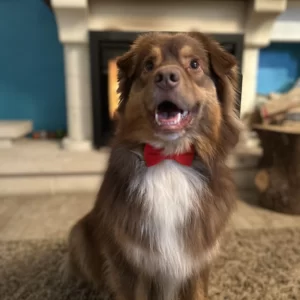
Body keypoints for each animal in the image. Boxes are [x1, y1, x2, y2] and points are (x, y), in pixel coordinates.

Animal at [67, 31, 241, 300]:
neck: (169, 158)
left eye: (194, 64)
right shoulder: (129, 265)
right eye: (149, 66)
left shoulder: (197, 262)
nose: (166, 77)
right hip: (78, 234)